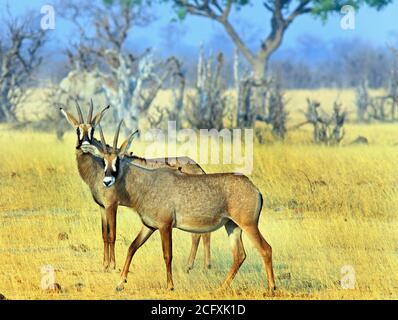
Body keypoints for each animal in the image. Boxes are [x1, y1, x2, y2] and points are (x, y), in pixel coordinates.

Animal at [59, 100, 211, 272]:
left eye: (92, 129)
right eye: (77, 129)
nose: (84, 145)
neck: (99, 168)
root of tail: (198, 167)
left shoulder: (112, 205)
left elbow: (112, 234)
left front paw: (112, 265)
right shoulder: (102, 207)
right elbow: (104, 235)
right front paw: (104, 265)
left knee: (200, 233)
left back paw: (199, 266)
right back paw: (196, 265)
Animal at [91, 123, 276, 292]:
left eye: (118, 160)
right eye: (103, 161)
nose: (107, 181)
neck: (147, 183)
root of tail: (255, 189)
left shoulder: (165, 226)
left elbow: (167, 255)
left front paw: (170, 286)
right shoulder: (149, 226)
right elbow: (132, 247)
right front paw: (120, 283)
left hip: (248, 225)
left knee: (265, 249)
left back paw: (271, 288)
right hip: (232, 226)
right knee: (239, 255)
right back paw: (221, 288)